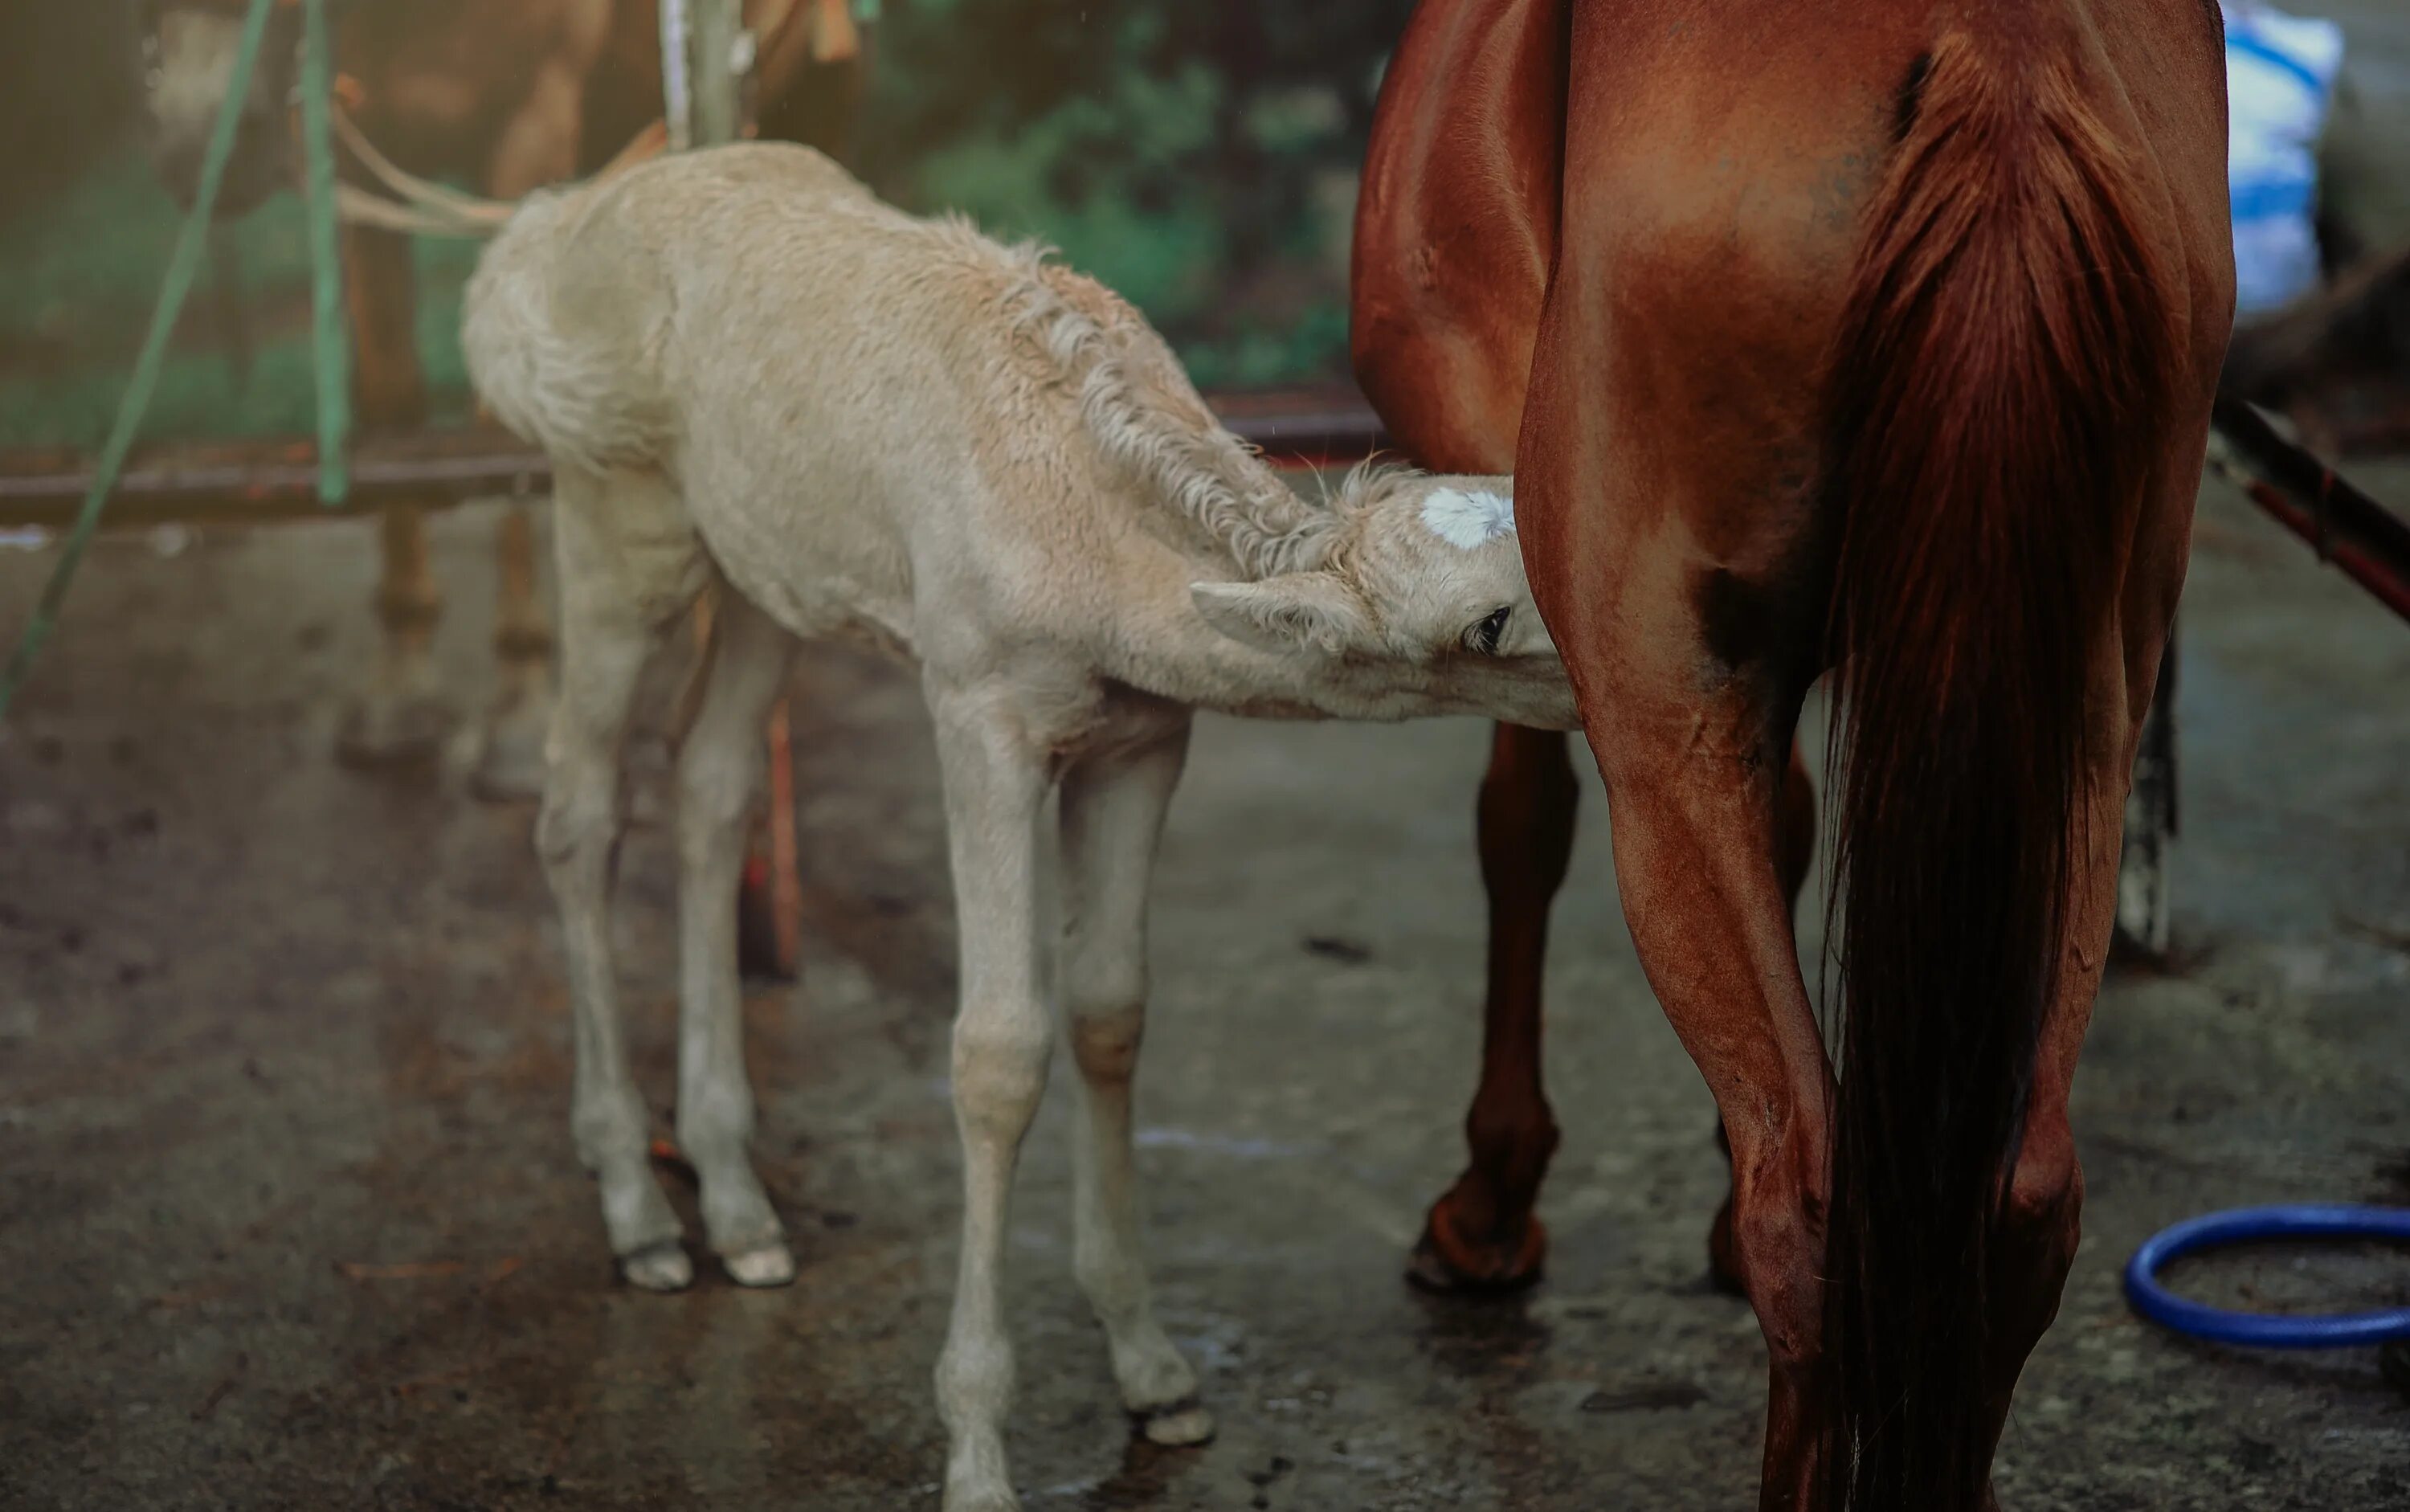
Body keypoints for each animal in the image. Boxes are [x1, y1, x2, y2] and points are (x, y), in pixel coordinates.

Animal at [134, 0, 868, 800]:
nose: (200, 144)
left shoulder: (529, 131)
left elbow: (503, 422)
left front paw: (518, 708)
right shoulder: (363, 166)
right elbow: (392, 391)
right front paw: (401, 681)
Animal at [465, 142, 1581, 1512]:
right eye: (1485, 622)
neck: (1091, 550)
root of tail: (538, 236)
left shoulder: (1146, 735)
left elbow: (1110, 1011)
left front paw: (1158, 1374)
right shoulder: (976, 707)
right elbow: (996, 1049)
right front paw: (979, 1453)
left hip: (765, 569)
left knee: (708, 783)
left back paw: (739, 1210)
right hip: (614, 512)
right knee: (575, 805)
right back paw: (638, 1212)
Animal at [1359, 2, 2236, 1512]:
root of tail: (1998, 51)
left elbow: (1519, 826)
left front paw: (1490, 1202)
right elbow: (1792, 822)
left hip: (1657, 702)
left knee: (1811, 1212)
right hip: (2080, 724)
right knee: (2020, 1199)